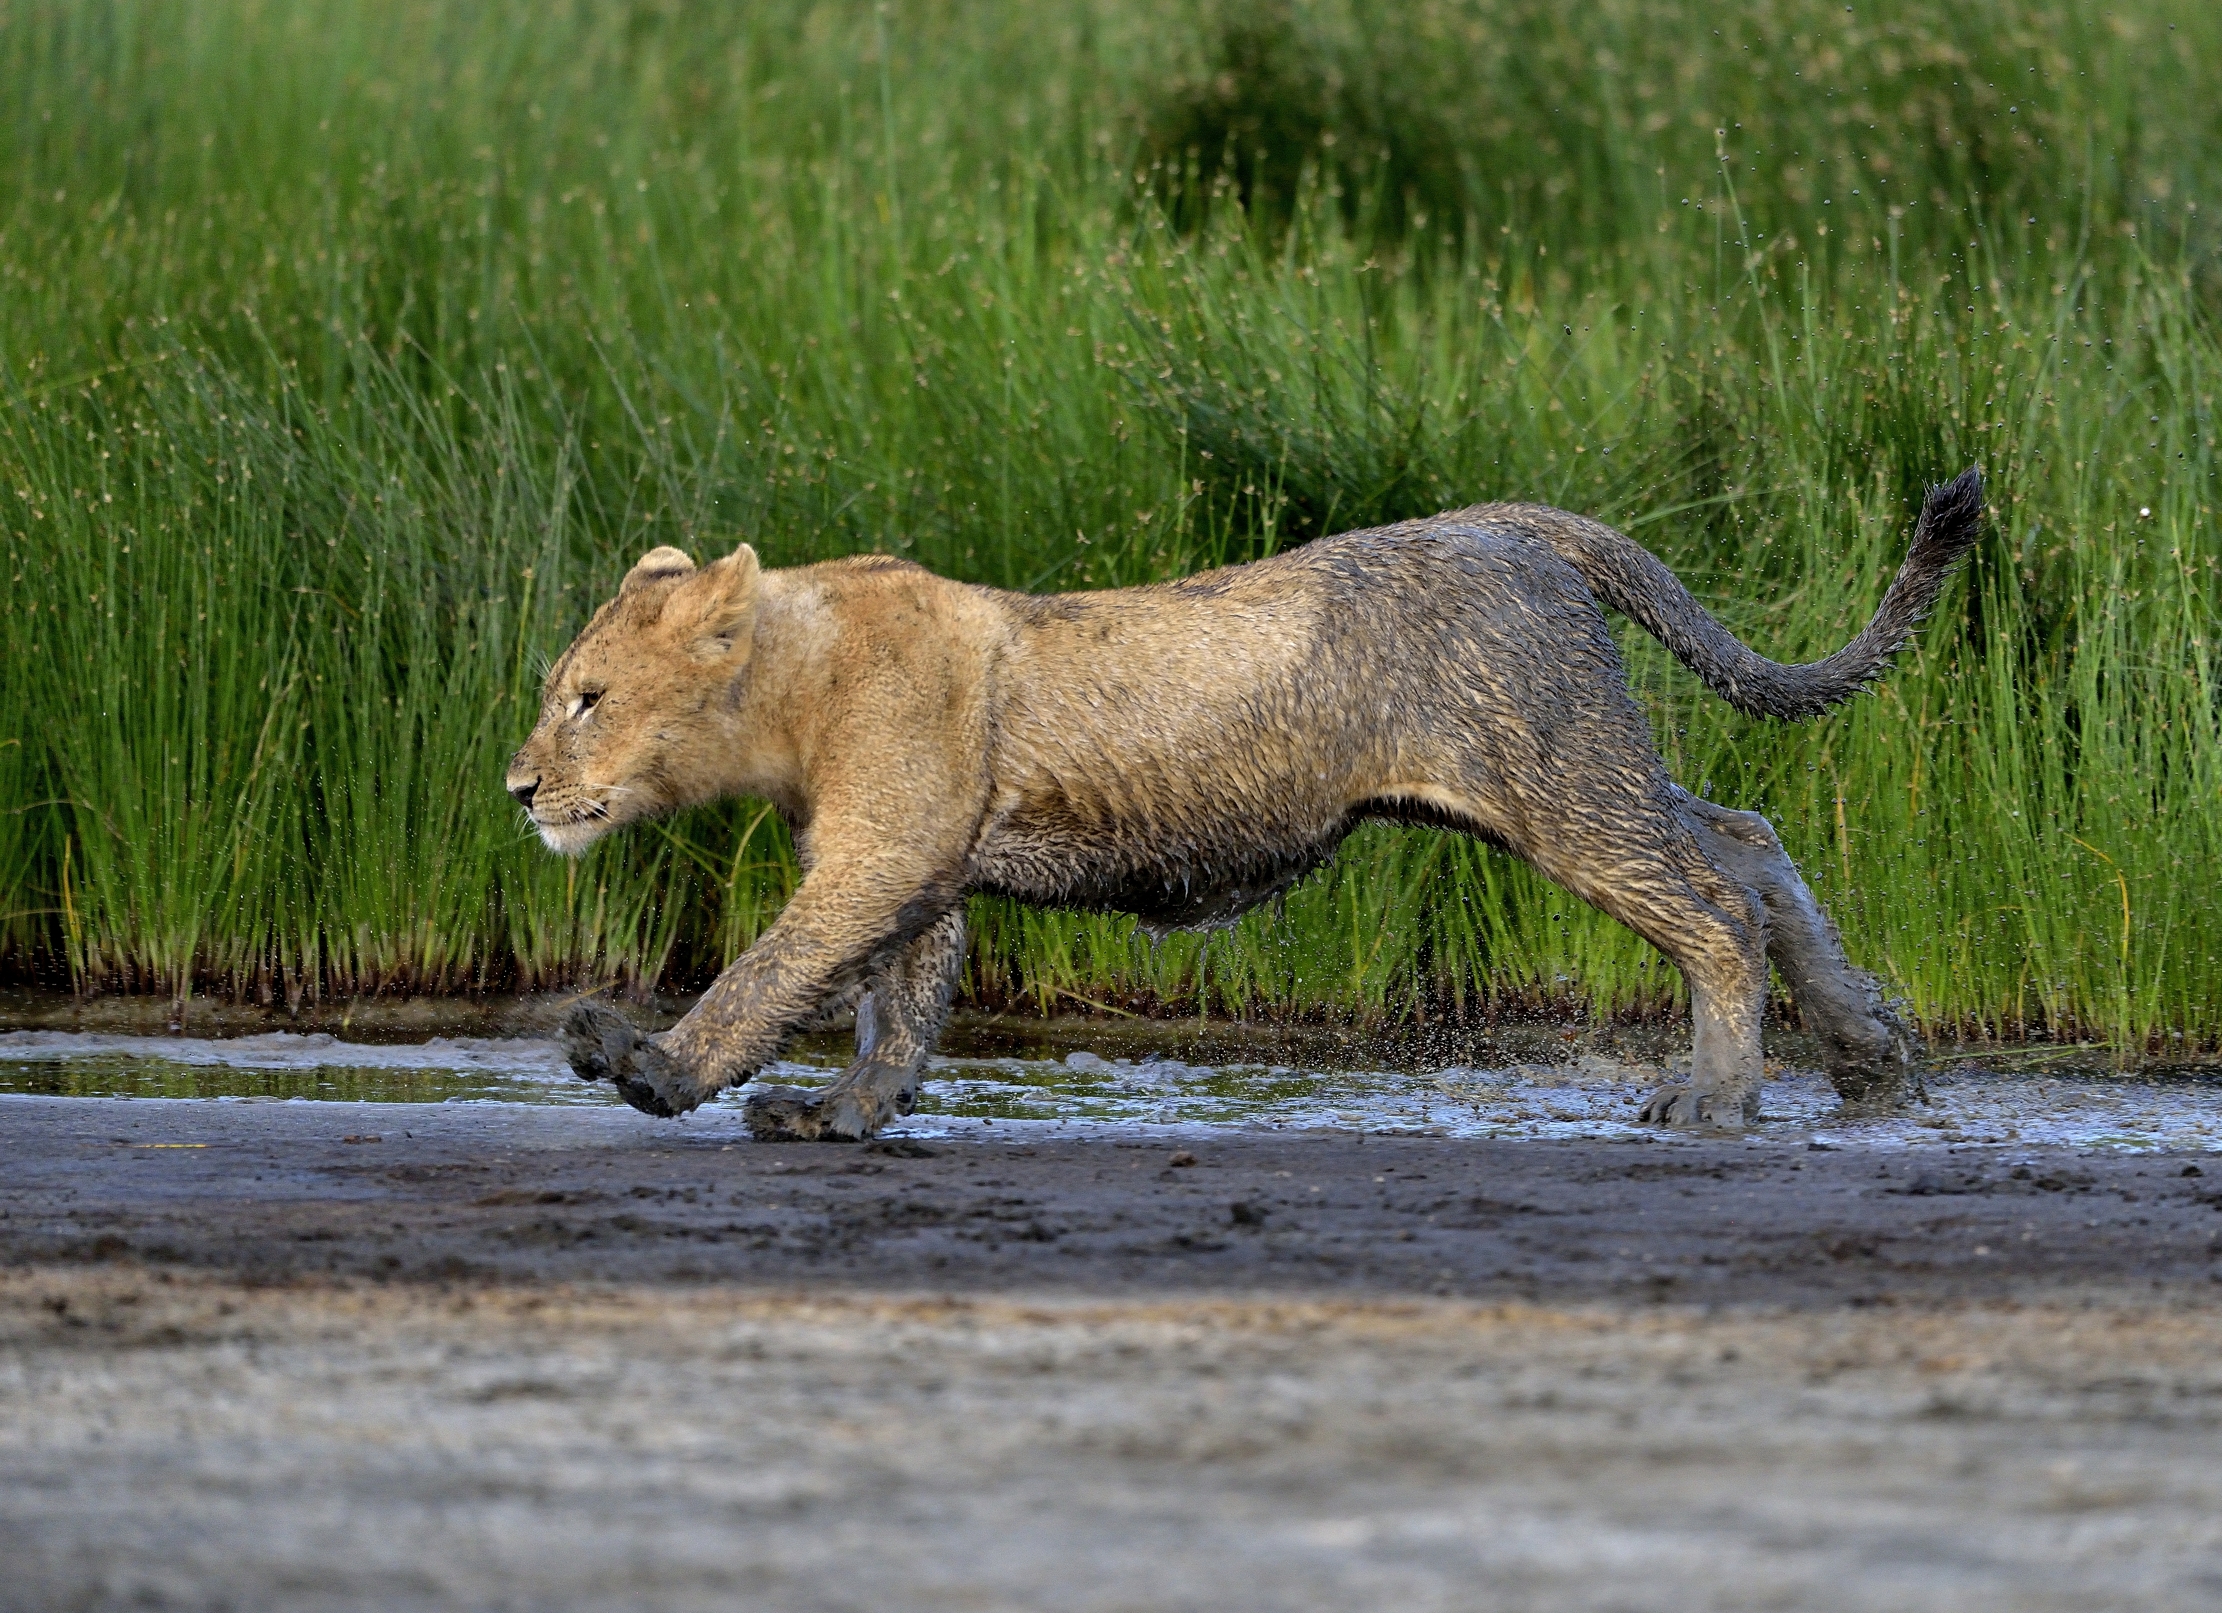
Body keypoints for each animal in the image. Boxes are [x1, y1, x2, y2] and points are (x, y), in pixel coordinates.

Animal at [508, 469, 1983, 1138]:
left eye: (585, 696)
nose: (521, 787)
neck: (791, 680)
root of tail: (1525, 523)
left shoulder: (880, 853)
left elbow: (768, 971)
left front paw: (643, 1062)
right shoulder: (919, 863)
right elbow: (895, 1002)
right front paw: (843, 1113)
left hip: (1557, 782)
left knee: (1711, 906)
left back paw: (1715, 1094)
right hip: (1576, 769)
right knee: (1747, 840)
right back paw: (1869, 1058)